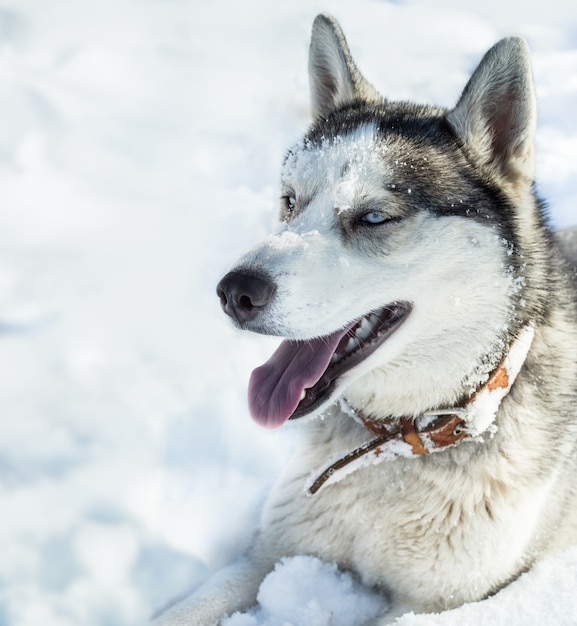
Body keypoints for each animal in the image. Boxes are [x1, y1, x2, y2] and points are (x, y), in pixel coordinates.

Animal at [153, 12, 576, 620]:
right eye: (289, 201)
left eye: (374, 217)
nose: (235, 291)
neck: (397, 439)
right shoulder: (269, 552)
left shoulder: (442, 602)